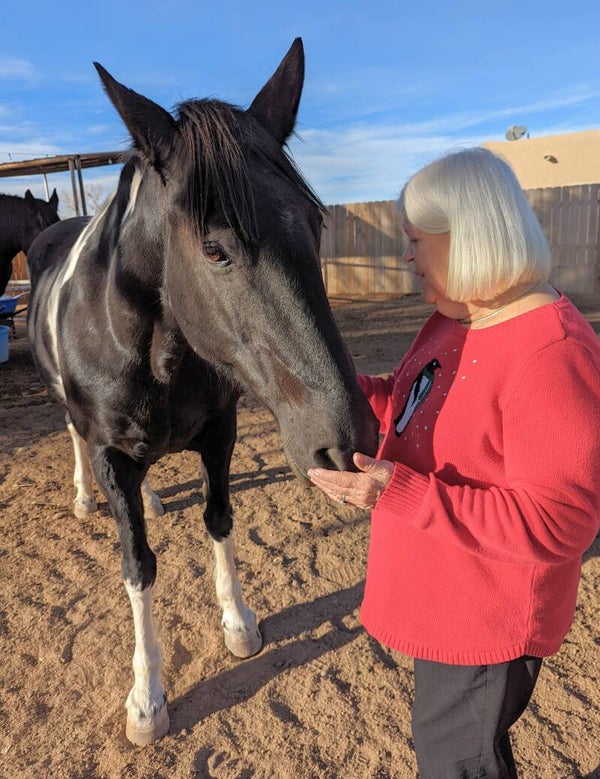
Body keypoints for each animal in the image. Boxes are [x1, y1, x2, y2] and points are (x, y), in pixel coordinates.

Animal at [26, 39, 379, 745]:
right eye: (214, 249)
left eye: (315, 224)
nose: (348, 440)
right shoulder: (110, 452)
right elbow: (137, 565)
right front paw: (146, 697)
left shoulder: (220, 434)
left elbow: (220, 519)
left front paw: (239, 623)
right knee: (76, 441)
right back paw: (85, 498)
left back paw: (152, 498)